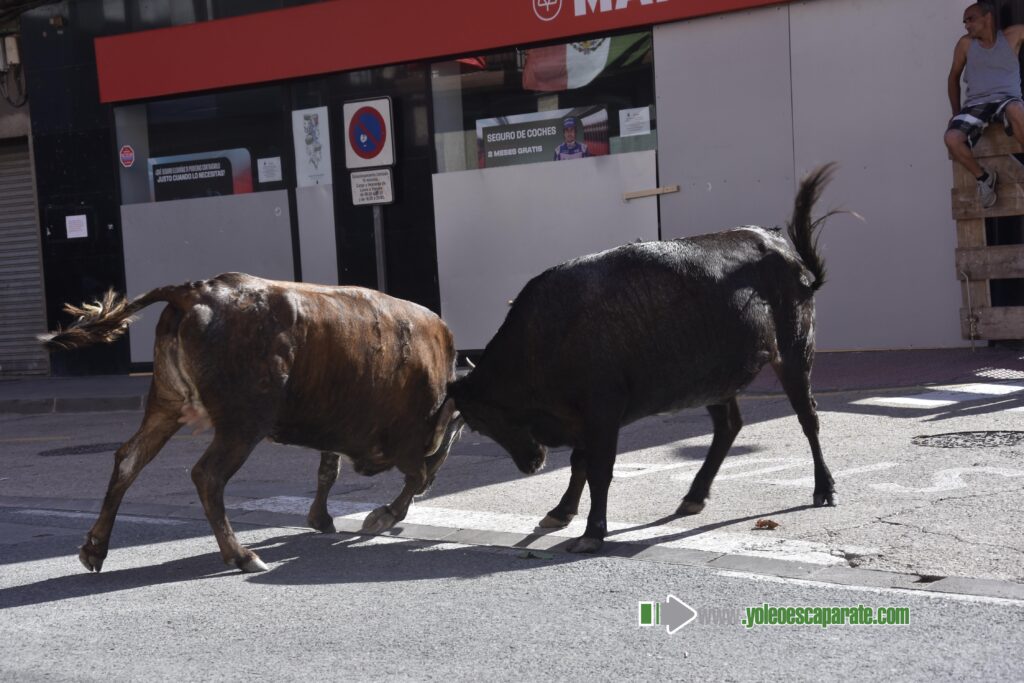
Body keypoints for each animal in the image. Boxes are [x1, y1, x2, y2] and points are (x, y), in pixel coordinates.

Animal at [40, 273, 463, 573]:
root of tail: (194, 292)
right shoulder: (406, 443)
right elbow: (412, 479)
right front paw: (380, 517)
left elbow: (329, 471)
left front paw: (321, 518)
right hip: (242, 426)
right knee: (207, 476)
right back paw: (242, 555)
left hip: (166, 406)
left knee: (129, 459)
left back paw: (95, 549)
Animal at [448, 165, 840, 554]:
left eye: (482, 417)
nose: (530, 465)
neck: (543, 339)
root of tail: (778, 246)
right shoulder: (584, 419)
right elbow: (579, 463)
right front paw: (561, 512)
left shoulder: (602, 411)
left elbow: (598, 469)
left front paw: (592, 531)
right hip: (715, 380)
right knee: (728, 425)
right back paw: (694, 496)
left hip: (794, 351)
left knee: (808, 417)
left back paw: (824, 488)